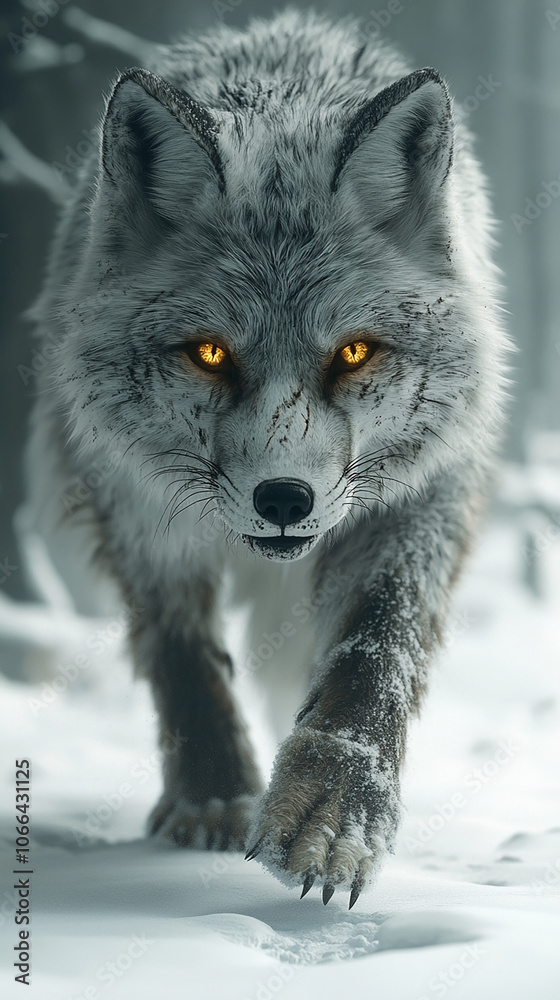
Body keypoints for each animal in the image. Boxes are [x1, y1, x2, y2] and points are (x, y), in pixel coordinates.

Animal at [25, 9, 508, 907]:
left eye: (354, 352)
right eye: (211, 354)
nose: (284, 500)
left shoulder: (420, 494)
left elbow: (373, 653)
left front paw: (332, 813)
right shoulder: (135, 509)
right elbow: (186, 659)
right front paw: (214, 800)